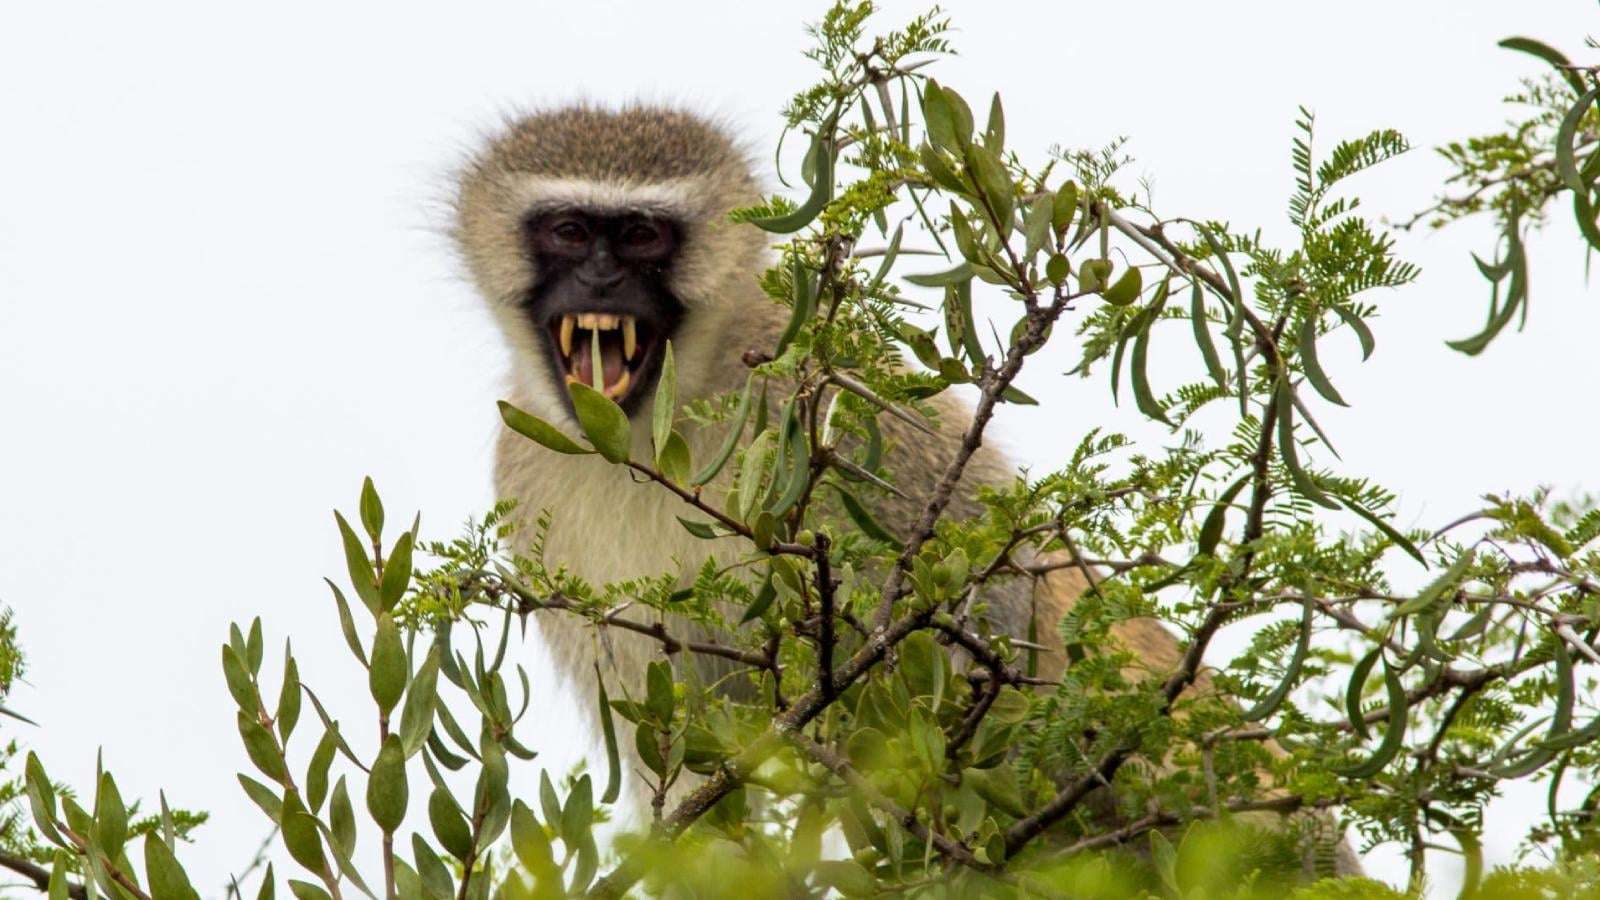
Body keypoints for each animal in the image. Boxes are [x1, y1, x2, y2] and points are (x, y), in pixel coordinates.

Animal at [450, 103, 1359, 876]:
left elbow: (988, 596)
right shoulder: (523, 472)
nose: (601, 283)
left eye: (640, 236)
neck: (651, 431)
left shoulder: (828, 400)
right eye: (570, 232)